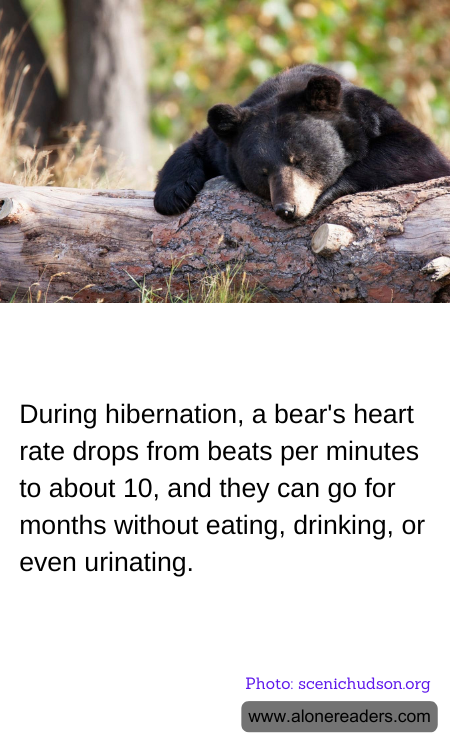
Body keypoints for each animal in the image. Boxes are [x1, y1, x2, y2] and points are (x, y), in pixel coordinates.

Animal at [154, 64, 450, 221]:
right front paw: (172, 196)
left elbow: (416, 153)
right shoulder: (222, 146)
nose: (286, 209)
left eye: (299, 159)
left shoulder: (373, 116)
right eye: (262, 172)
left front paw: (328, 191)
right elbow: (194, 145)